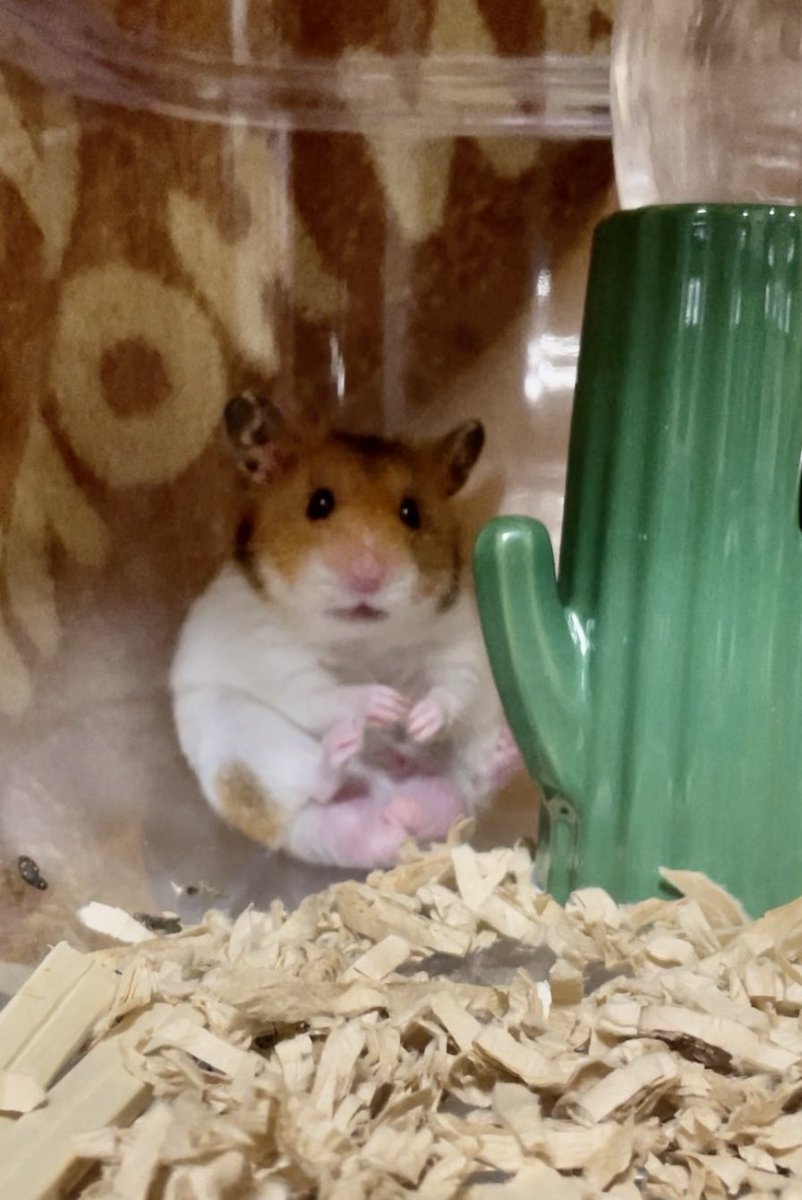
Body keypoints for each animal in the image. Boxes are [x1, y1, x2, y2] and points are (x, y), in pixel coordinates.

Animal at [170, 391, 522, 870]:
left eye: (411, 512)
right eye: (318, 503)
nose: (369, 577)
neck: (362, 639)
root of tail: (388, 809)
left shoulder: (457, 638)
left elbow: (452, 687)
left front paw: (417, 719)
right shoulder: (278, 660)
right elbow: (326, 695)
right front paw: (386, 705)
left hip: (479, 732)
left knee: (472, 780)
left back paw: (498, 755)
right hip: (244, 741)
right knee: (316, 786)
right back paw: (345, 752)